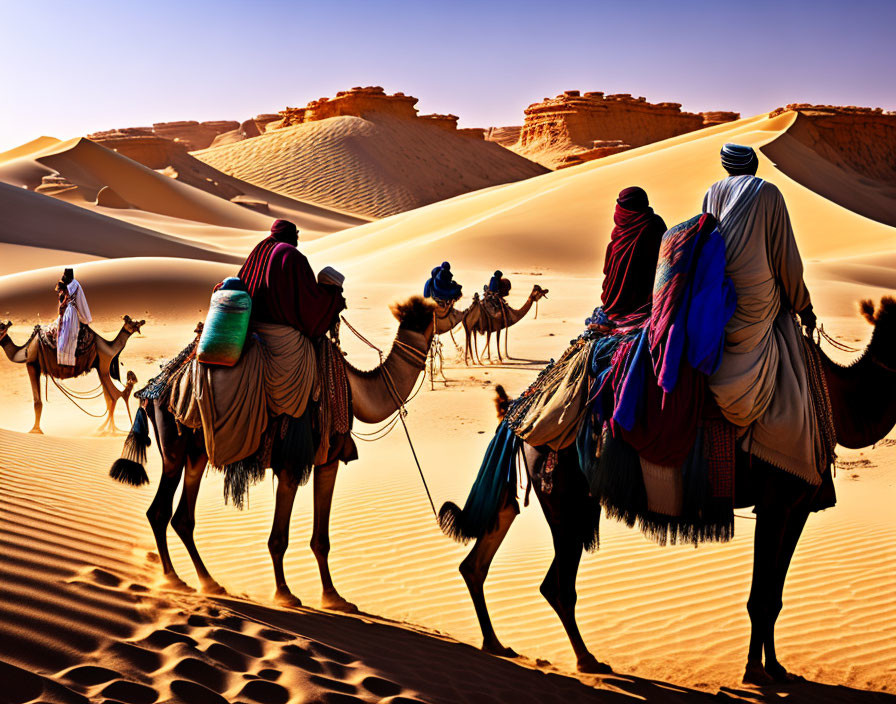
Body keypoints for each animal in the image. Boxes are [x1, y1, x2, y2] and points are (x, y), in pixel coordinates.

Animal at [0, 314, 143, 434]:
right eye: (132, 321)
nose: (142, 322)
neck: (23, 351)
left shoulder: (31, 364)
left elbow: (37, 402)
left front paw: (35, 431)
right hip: (102, 368)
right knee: (112, 396)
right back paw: (108, 429)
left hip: (103, 367)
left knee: (114, 395)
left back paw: (107, 430)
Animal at [108, 296, 438, 612]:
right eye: (443, 305)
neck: (355, 391)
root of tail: (150, 391)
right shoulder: (293, 463)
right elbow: (279, 538)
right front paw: (285, 594)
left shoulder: (327, 461)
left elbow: (321, 539)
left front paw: (334, 598)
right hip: (174, 448)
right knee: (159, 511)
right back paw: (174, 580)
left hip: (196, 452)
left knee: (183, 518)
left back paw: (210, 583)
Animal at [440, 296, 896, 680]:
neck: (836, 400)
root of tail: (521, 412)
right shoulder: (775, 501)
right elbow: (760, 594)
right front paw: (755, 673)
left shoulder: (798, 506)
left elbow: (775, 593)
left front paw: (779, 670)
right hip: (566, 497)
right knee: (556, 583)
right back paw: (588, 661)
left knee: (485, 547)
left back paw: (497, 643)